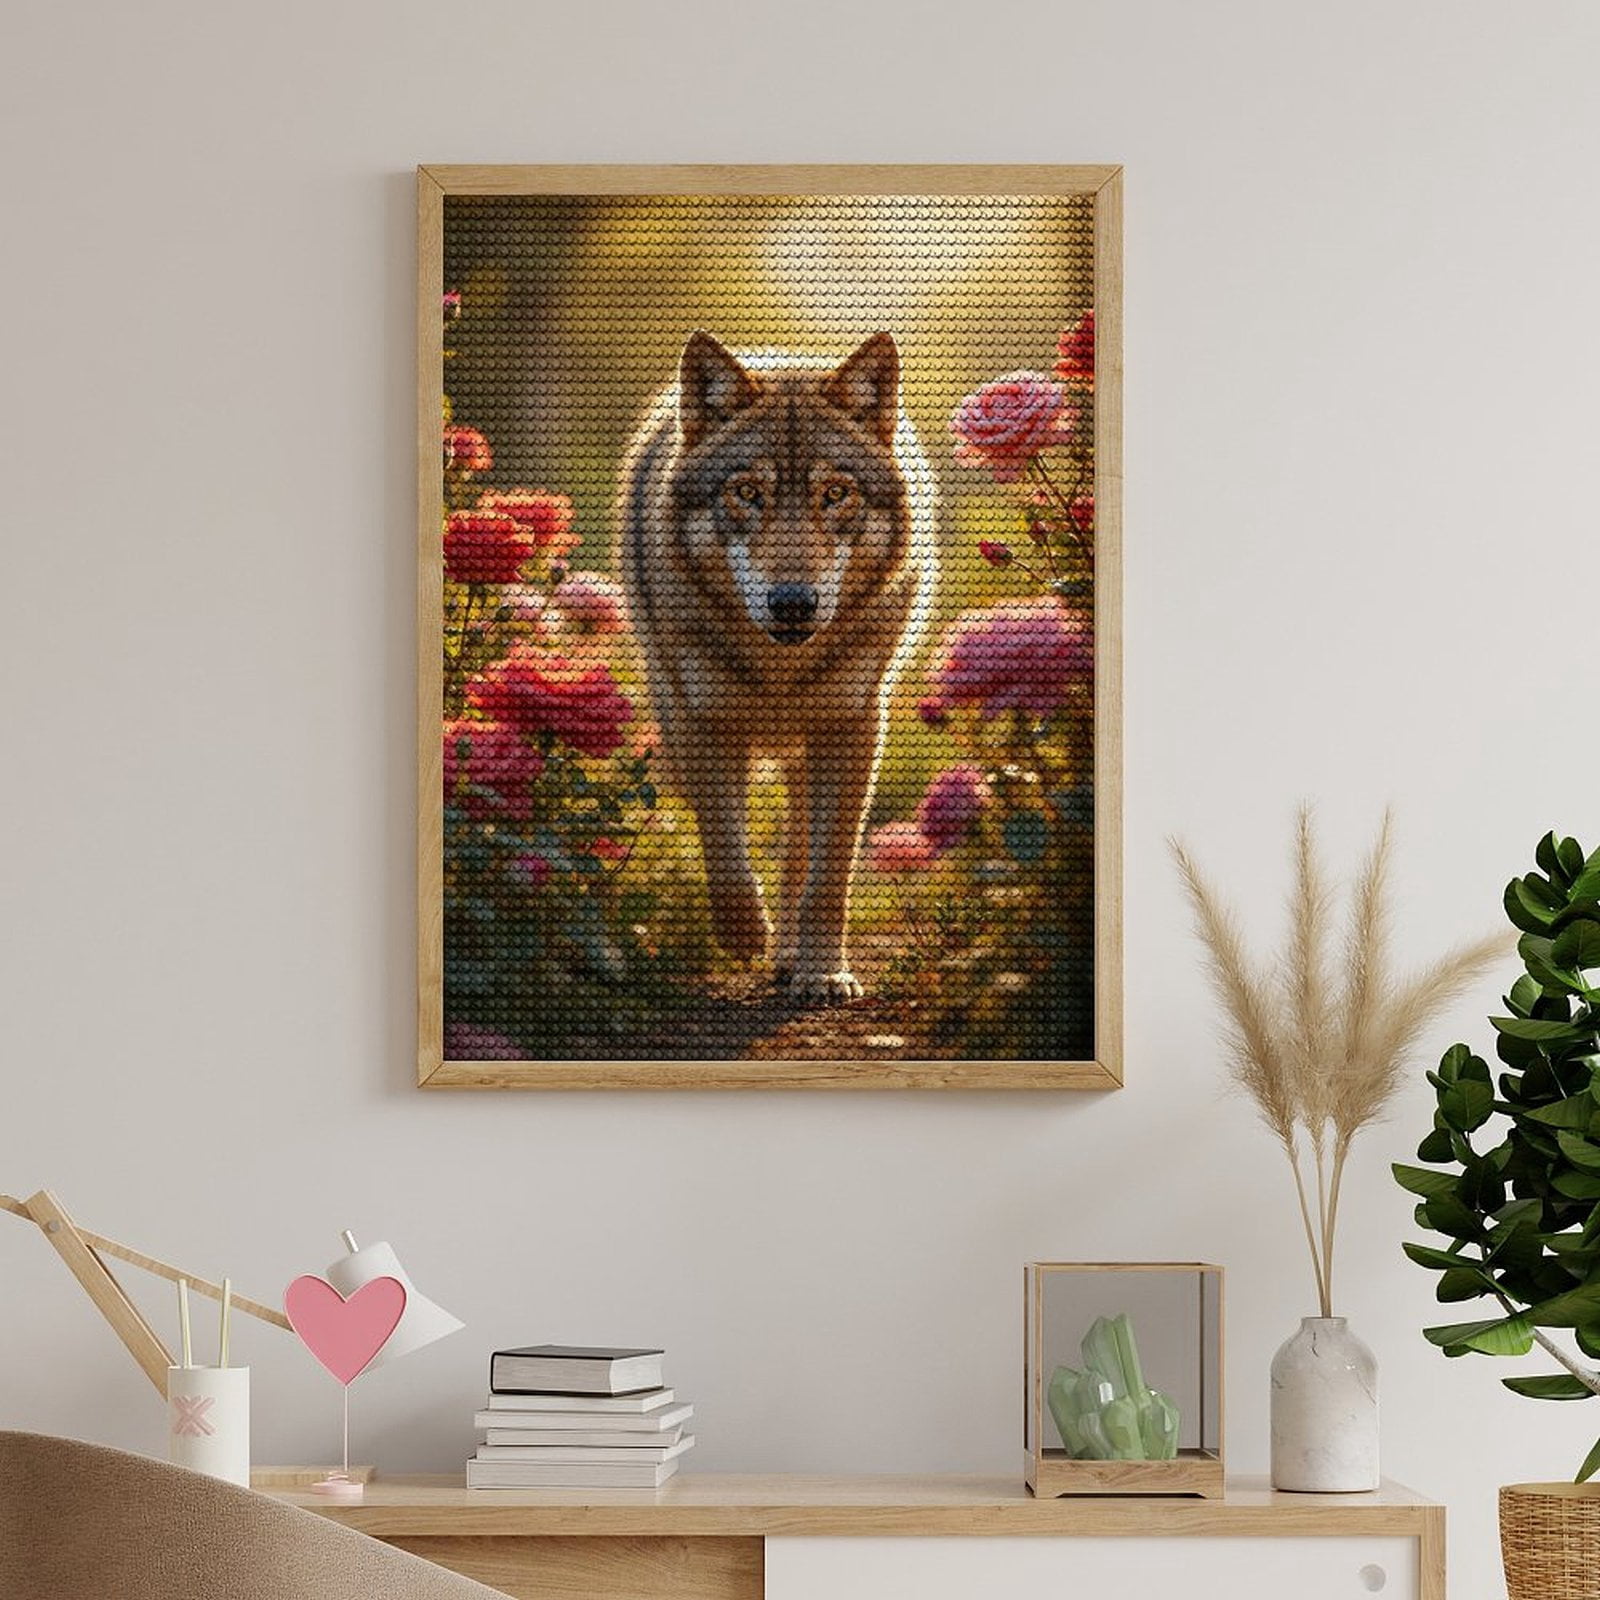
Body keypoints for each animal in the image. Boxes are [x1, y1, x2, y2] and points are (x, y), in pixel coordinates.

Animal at [620, 331, 936, 1003]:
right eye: (747, 494)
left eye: (835, 495)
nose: (792, 601)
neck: (779, 672)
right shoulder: (700, 724)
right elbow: (725, 846)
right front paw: (745, 937)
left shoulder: (852, 728)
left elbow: (828, 873)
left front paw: (821, 970)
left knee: (798, 850)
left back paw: (792, 955)